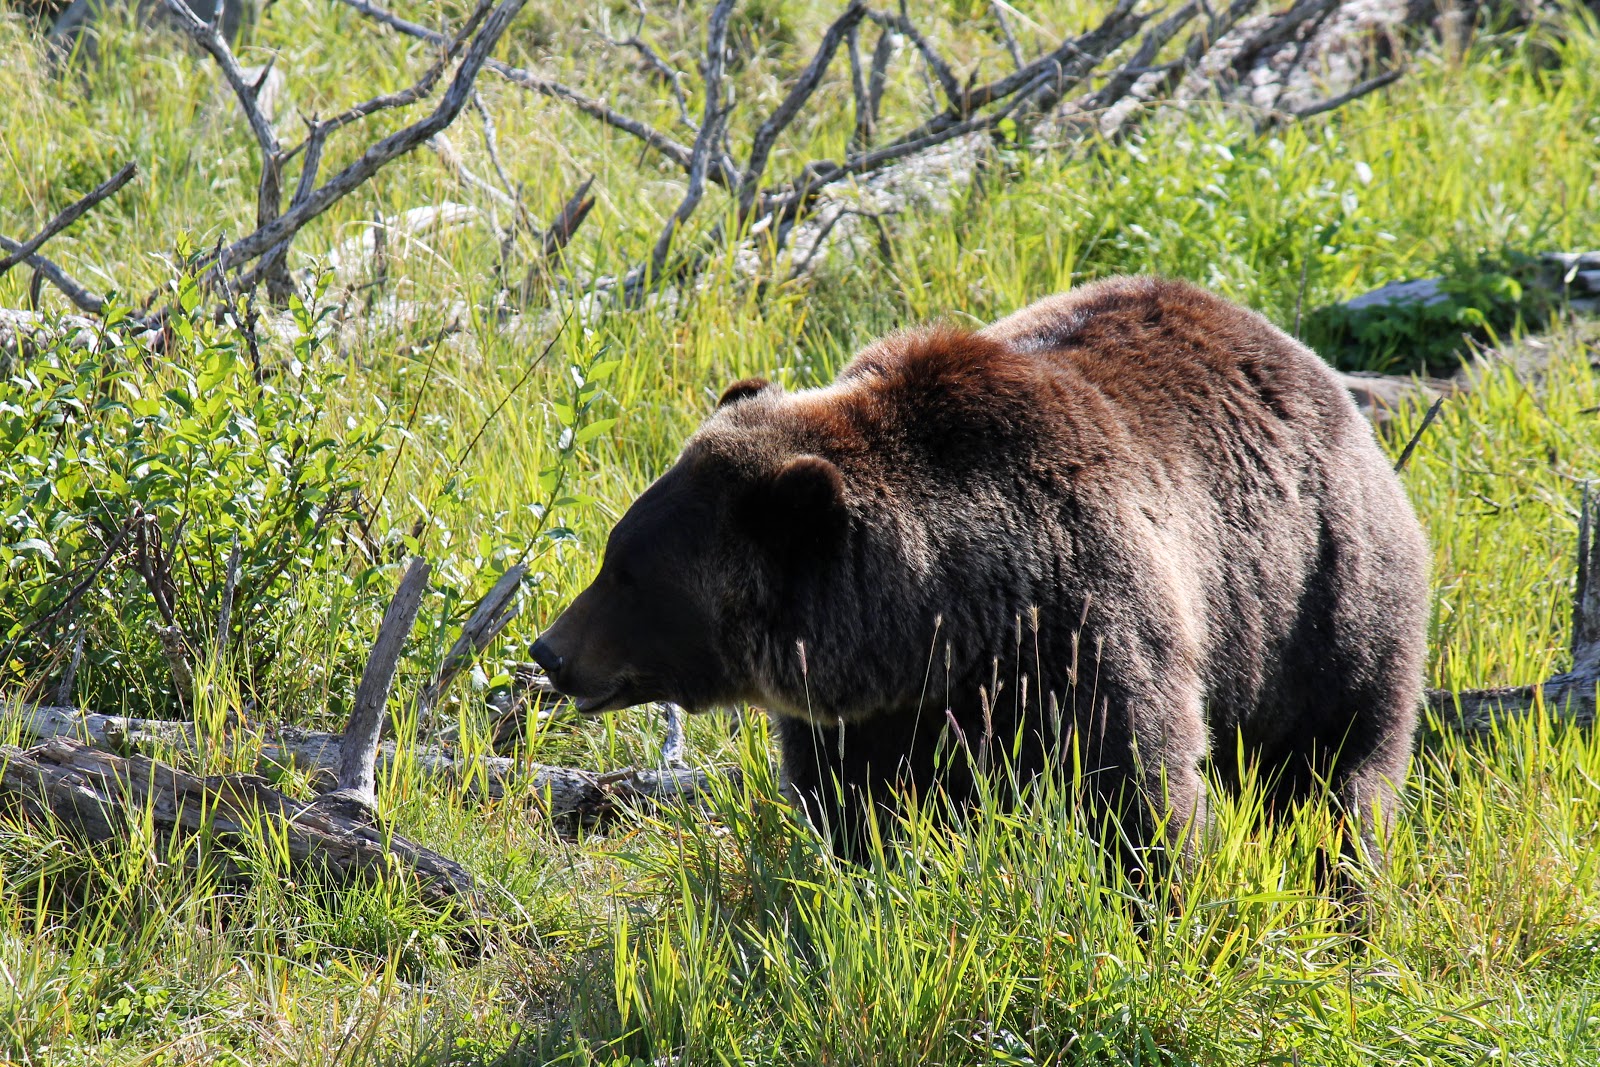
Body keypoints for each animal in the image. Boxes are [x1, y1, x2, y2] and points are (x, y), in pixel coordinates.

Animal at [532, 275, 1430, 882]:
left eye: (628, 573)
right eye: (615, 553)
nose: (548, 650)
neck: (944, 621)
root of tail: (1311, 367)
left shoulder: (1089, 623)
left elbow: (1138, 788)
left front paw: (1161, 901)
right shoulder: (877, 714)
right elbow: (860, 809)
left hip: (1318, 597)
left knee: (1335, 770)